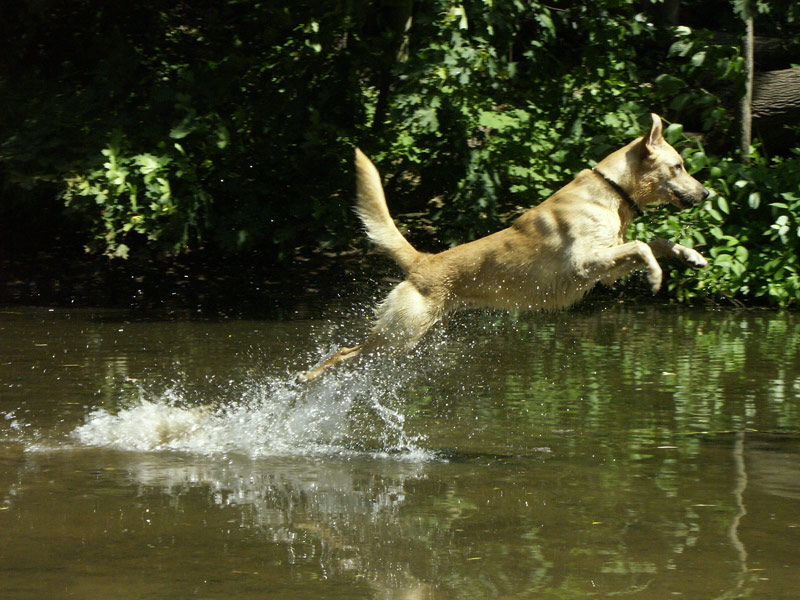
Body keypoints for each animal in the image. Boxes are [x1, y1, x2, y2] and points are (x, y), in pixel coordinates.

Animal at [298, 115, 708, 382]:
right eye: (679, 166)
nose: (706, 193)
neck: (612, 190)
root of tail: (422, 261)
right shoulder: (584, 264)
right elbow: (643, 245)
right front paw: (655, 276)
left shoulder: (607, 264)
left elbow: (655, 241)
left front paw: (692, 255)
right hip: (400, 334)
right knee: (343, 353)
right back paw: (308, 379)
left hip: (404, 338)